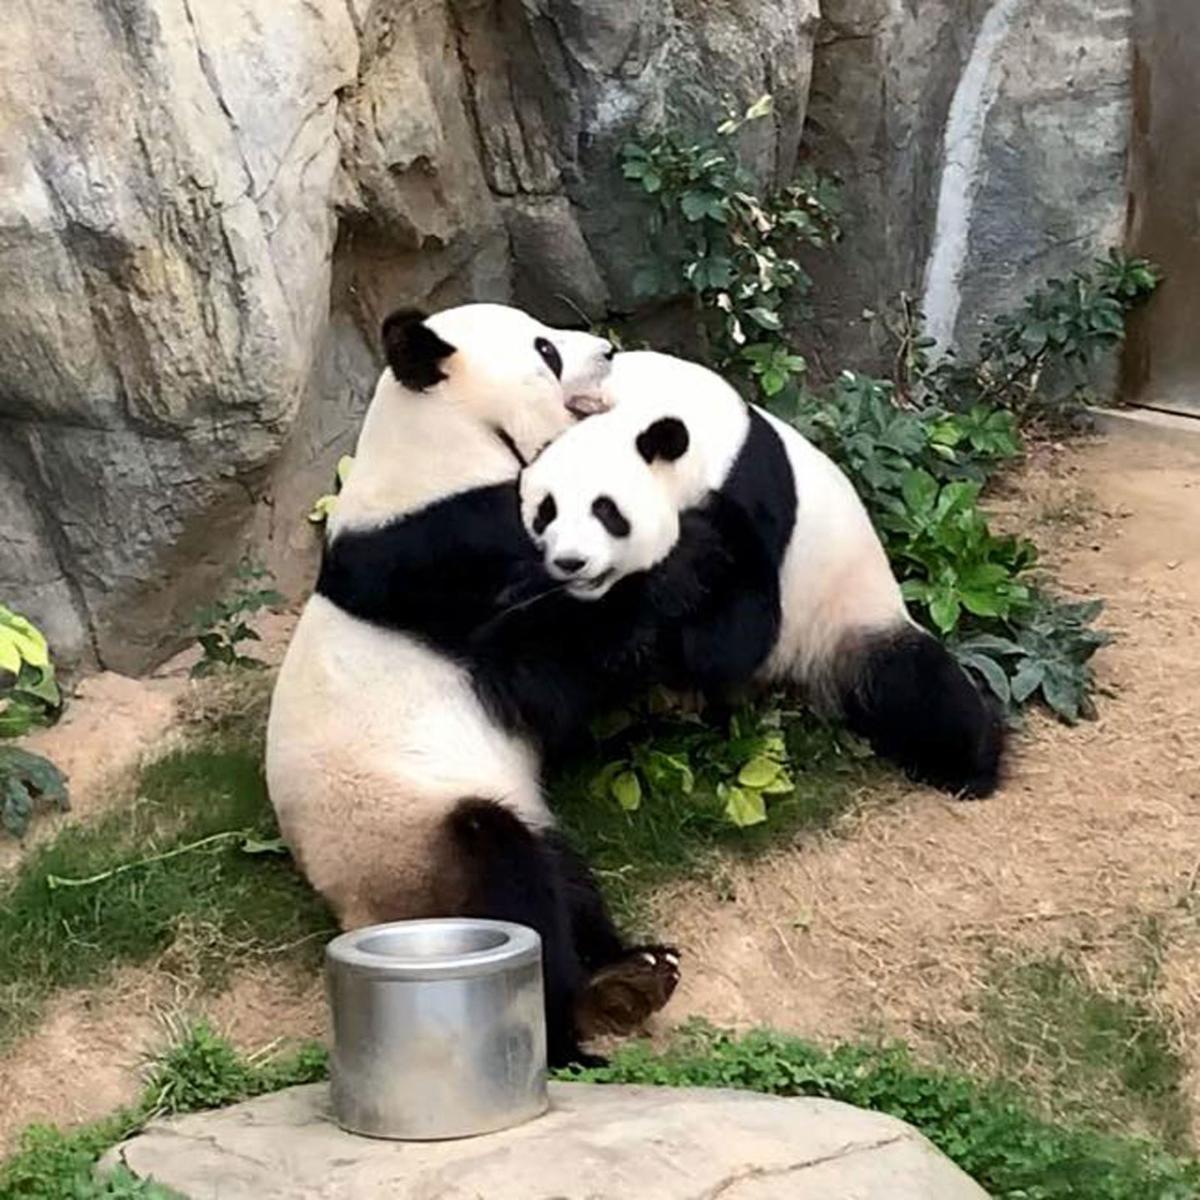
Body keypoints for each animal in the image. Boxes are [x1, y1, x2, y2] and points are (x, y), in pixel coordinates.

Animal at [266, 305, 680, 1067]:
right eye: (546, 350)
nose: (608, 350)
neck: (441, 444)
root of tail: (354, 913)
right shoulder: (449, 556)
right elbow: (546, 670)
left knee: (564, 875)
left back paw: (629, 974)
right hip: (413, 839)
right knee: (508, 875)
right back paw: (570, 1027)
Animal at [518, 350, 1005, 797]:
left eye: (606, 511)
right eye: (546, 511)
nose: (571, 562)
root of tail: (792, 681)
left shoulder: (750, 496)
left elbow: (735, 636)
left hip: (847, 619)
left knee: (917, 687)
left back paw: (970, 767)